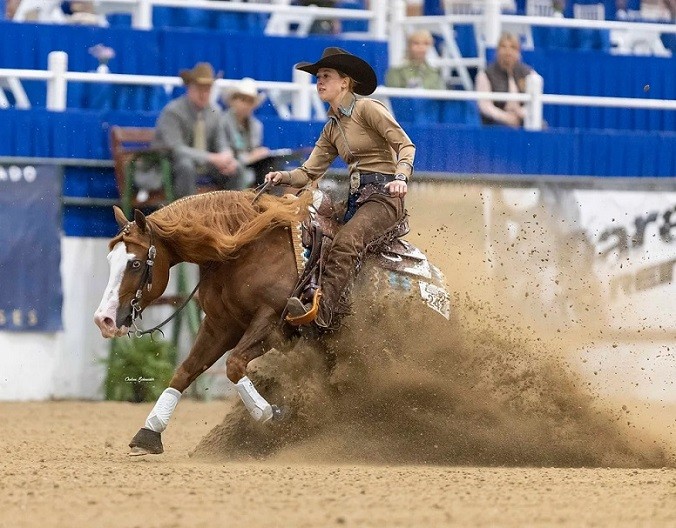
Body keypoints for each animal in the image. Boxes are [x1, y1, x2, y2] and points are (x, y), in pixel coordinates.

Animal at [94, 189, 450, 456]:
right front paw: (149, 433)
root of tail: (440, 292)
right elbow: (185, 371)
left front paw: (274, 414)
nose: (104, 319)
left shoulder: (272, 322)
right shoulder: (220, 325)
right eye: (110, 259)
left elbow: (235, 364)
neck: (242, 247)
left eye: (135, 263)